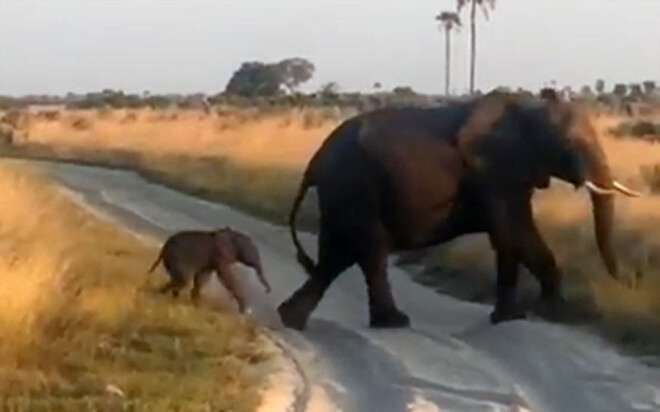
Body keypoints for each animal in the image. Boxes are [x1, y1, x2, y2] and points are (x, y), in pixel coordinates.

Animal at [278, 90, 640, 332]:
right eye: (568, 144)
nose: (628, 284)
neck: (528, 109)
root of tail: (315, 162)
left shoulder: (510, 173)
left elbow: (507, 238)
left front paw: (509, 318)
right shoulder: (493, 171)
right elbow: (515, 230)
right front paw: (558, 314)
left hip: (343, 192)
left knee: (336, 255)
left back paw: (291, 319)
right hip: (356, 185)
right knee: (369, 251)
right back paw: (393, 323)